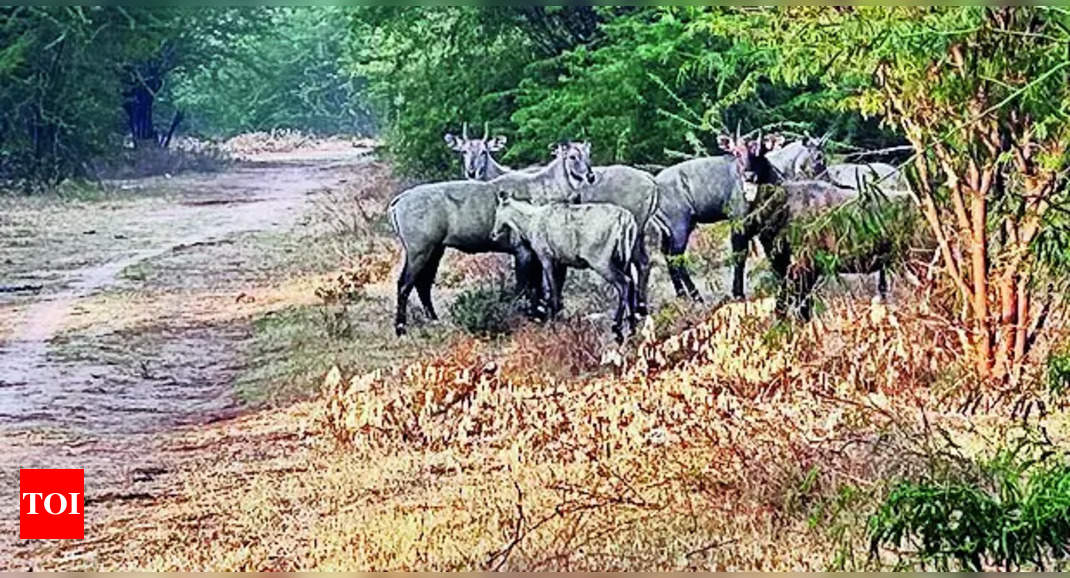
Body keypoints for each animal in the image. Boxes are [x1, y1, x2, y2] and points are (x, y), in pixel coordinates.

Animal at [494, 189, 637, 342]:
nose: (493, 233)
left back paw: (617, 325)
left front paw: (552, 321)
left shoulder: (546, 257)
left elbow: (553, 289)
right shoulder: (561, 262)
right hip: (624, 261)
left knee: (624, 283)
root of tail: (627, 220)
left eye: (498, 210)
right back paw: (631, 326)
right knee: (632, 284)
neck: (530, 222)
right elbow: (558, 288)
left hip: (601, 261)